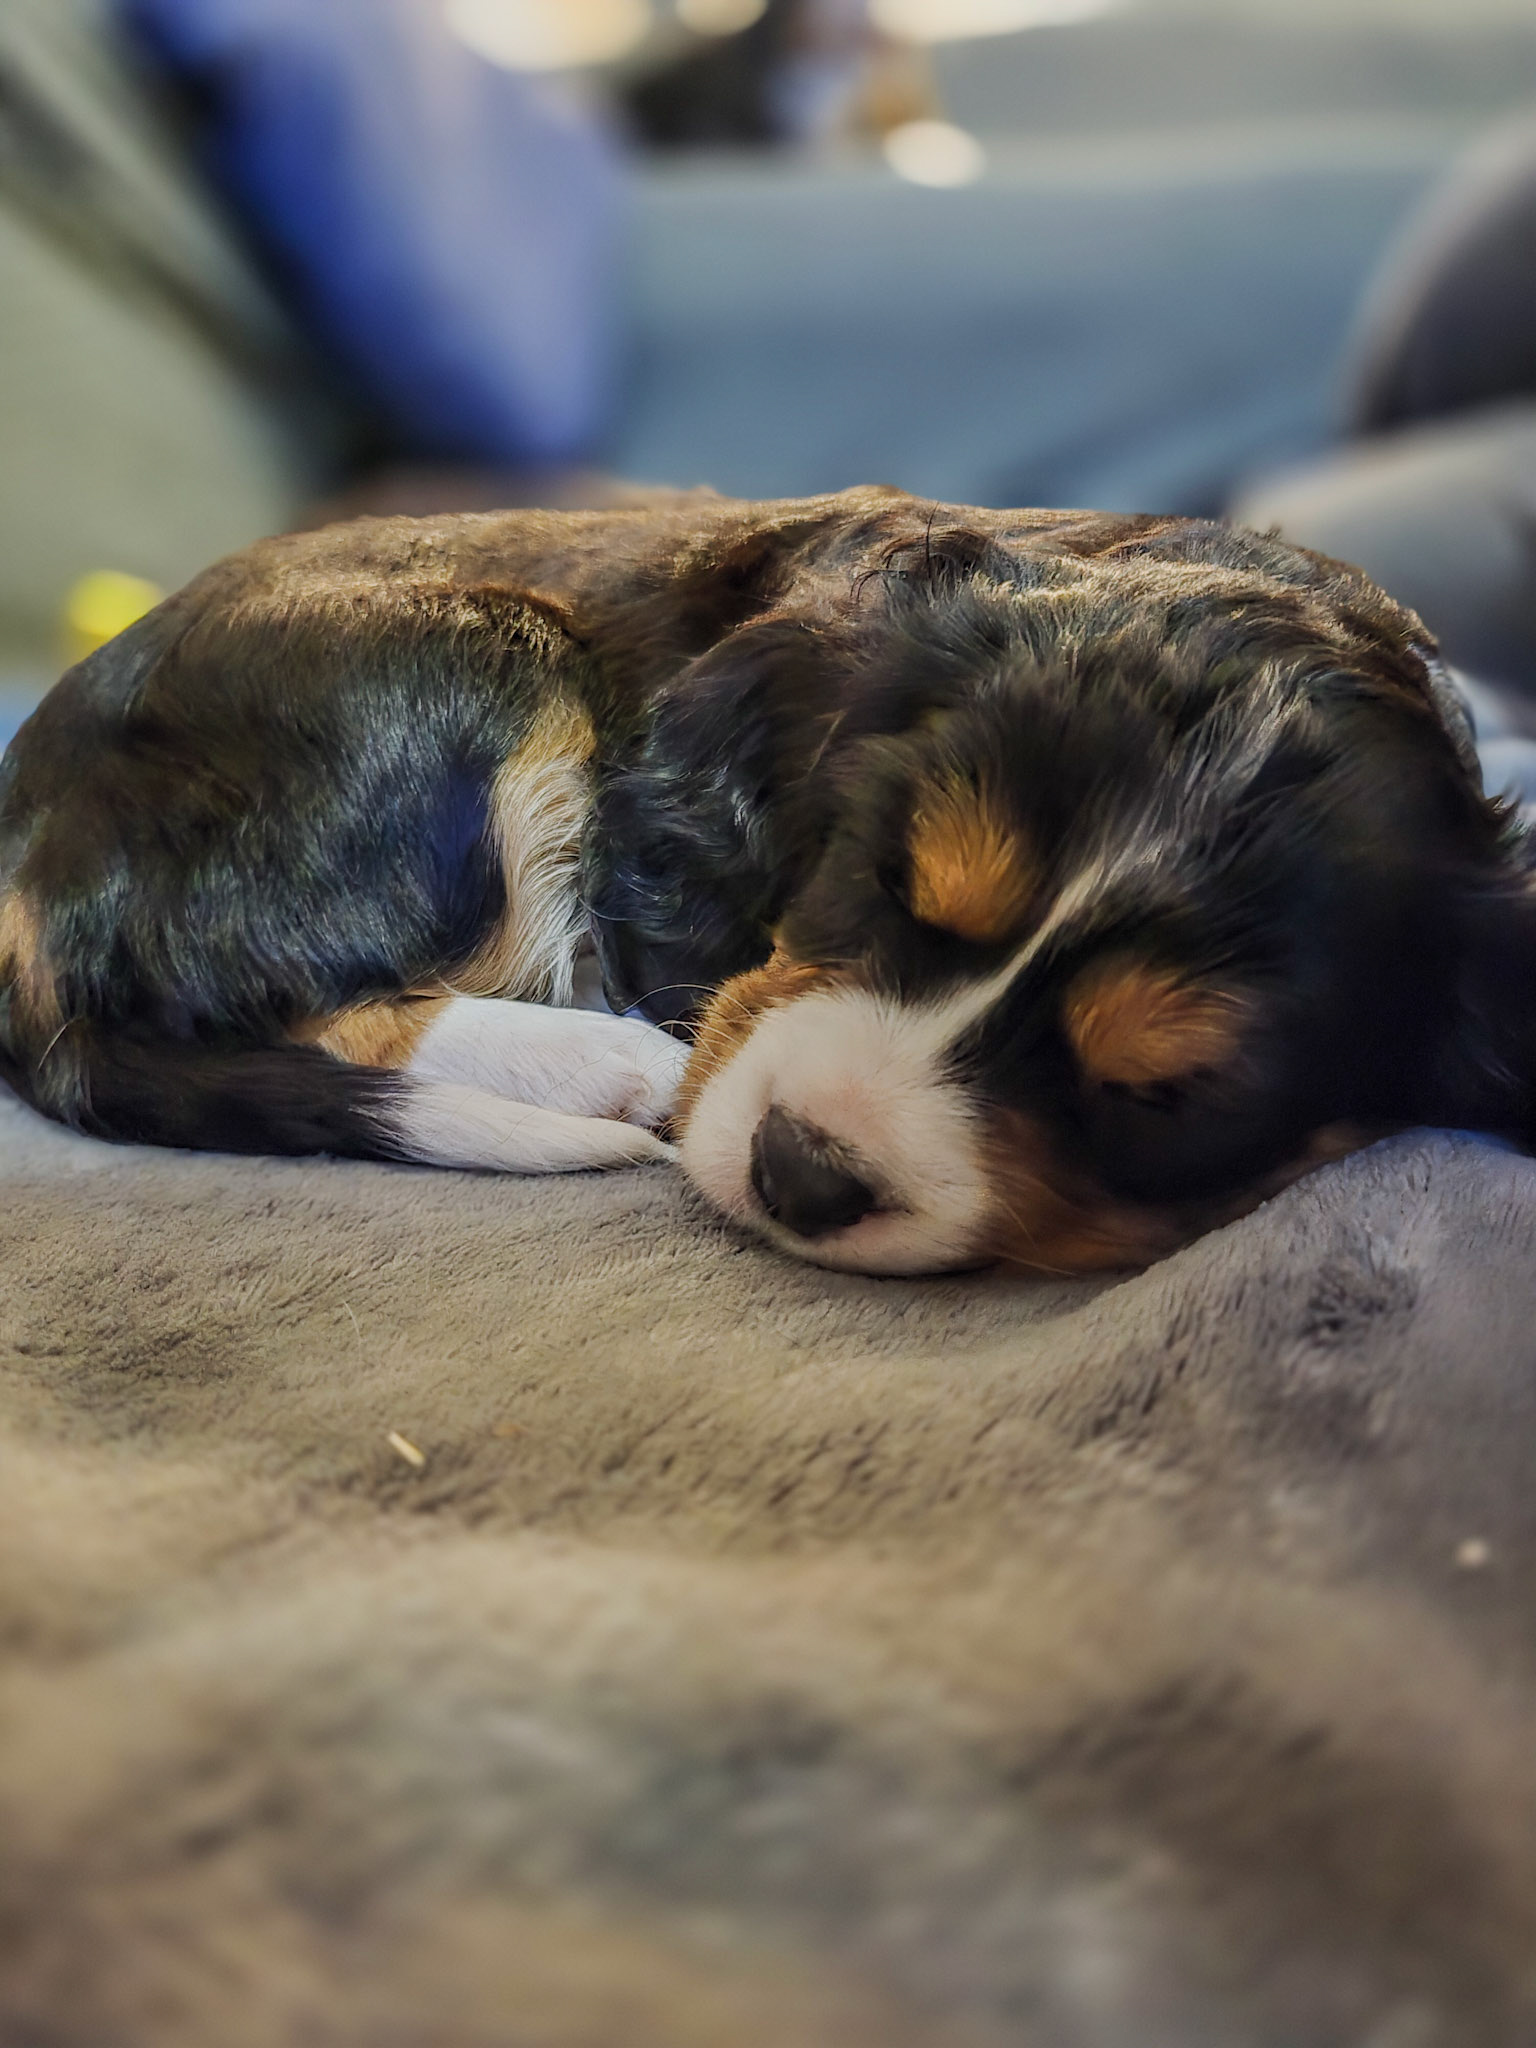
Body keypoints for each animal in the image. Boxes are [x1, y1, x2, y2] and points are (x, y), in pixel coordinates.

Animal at [2, 486, 1531, 1276]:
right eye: (879, 882)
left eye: (1165, 1097)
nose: (800, 1172)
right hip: (473, 663)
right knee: (303, 998)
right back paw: (600, 1062)